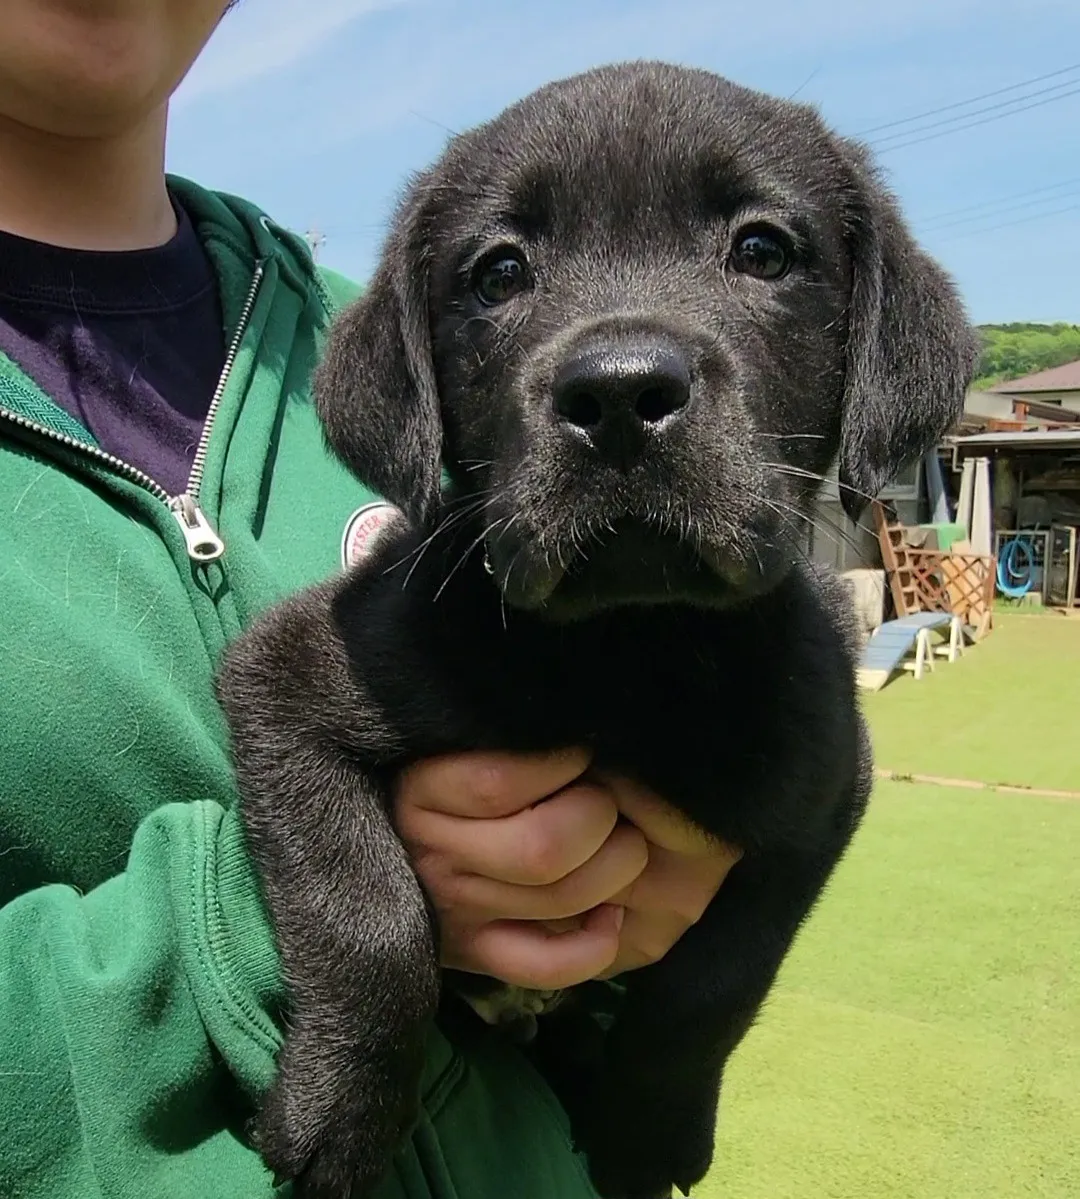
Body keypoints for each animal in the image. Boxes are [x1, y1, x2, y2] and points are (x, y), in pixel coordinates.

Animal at [216, 60, 978, 1194]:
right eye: (498, 274)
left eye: (763, 250)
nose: (619, 393)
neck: (625, 649)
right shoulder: (288, 683)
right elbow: (367, 912)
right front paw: (338, 1113)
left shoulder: (822, 794)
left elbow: (712, 987)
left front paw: (649, 1132)